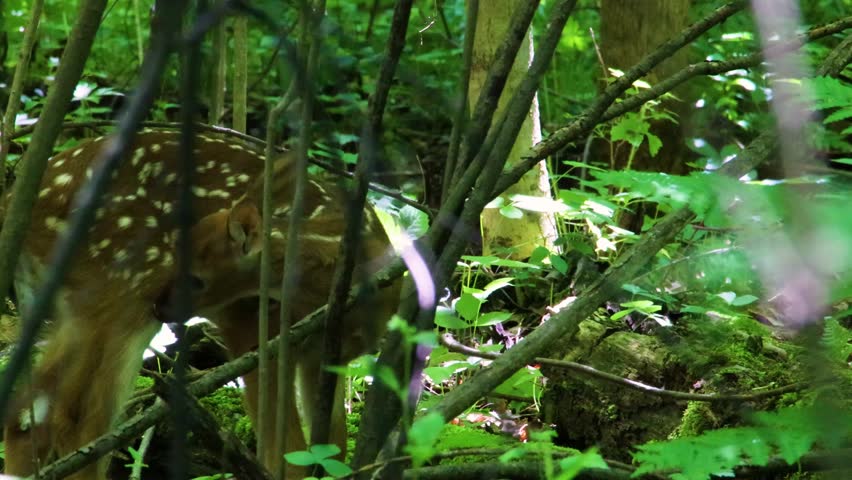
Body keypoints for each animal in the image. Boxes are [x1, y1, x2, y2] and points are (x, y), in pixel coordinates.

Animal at [3, 129, 399, 479]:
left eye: (197, 277)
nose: (164, 308)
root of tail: (17, 202)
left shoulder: (324, 356)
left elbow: (332, 449)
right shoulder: (252, 333)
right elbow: (287, 458)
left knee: (31, 414)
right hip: (119, 291)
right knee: (78, 424)